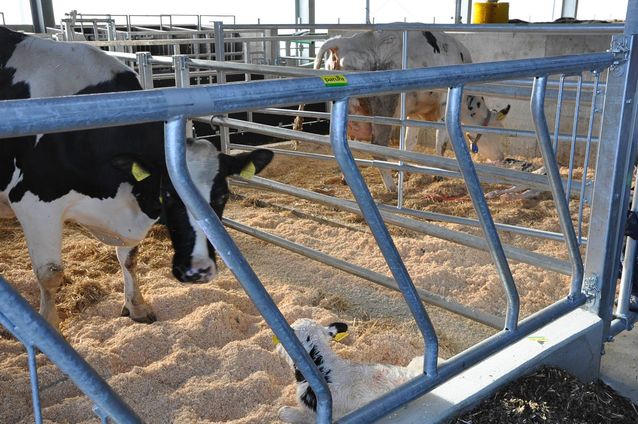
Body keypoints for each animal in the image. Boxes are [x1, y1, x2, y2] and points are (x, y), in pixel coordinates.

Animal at [0, 27, 272, 332]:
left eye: (222, 196)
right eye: (168, 194)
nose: (198, 270)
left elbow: (128, 258)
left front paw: (137, 306)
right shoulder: (34, 204)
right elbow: (50, 274)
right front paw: (49, 329)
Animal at [294, 30, 510, 193]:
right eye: (497, 133)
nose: (501, 157)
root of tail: (345, 40)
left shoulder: (413, 113)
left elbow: (409, 143)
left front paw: (404, 172)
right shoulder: (443, 107)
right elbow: (441, 143)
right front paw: (438, 173)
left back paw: (347, 179)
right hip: (384, 108)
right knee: (378, 147)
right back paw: (391, 188)